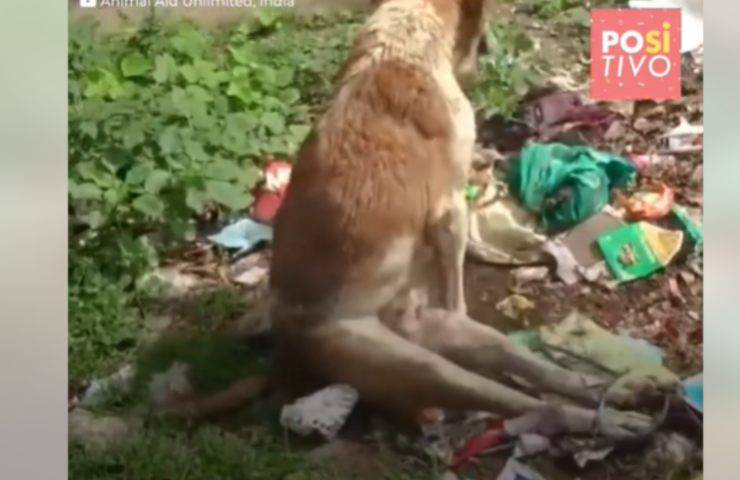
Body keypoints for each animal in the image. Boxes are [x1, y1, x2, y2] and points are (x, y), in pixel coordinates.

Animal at [270, 0, 656, 438]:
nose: (488, 53)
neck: (404, 42)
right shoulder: (450, 208)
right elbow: (454, 278)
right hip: (425, 367)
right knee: (531, 404)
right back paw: (612, 422)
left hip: (466, 341)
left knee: (542, 374)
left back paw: (618, 394)